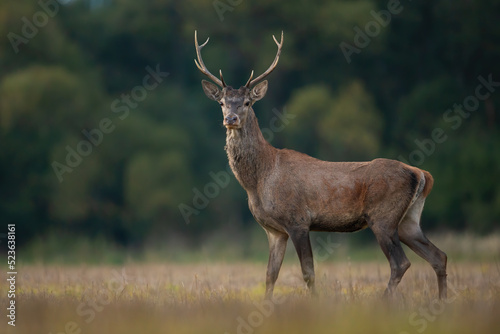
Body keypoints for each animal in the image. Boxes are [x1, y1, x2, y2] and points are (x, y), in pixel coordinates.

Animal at [193, 30, 448, 300]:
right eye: (222, 102)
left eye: (247, 102)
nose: (230, 119)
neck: (259, 180)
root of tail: (421, 173)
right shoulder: (274, 231)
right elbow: (270, 275)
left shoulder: (298, 220)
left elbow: (308, 273)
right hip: (409, 219)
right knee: (438, 256)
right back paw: (441, 302)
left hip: (383, 216)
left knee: (401, 263)